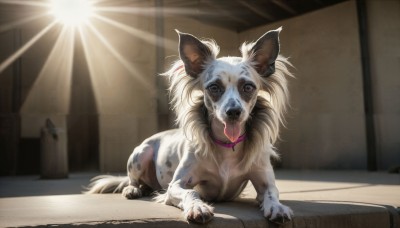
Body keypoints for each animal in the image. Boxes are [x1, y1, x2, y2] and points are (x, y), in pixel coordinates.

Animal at [86, 27, 294, 224]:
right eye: (214, 87)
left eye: (248, 87)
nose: (233, 112)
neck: (227, 145)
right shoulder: (176, 185)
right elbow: (191, 192)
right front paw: (198, 207)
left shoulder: (264, 180)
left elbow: (271, 193)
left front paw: (277, 208)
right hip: (141, 154)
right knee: (133, 180)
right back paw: (133, 189)